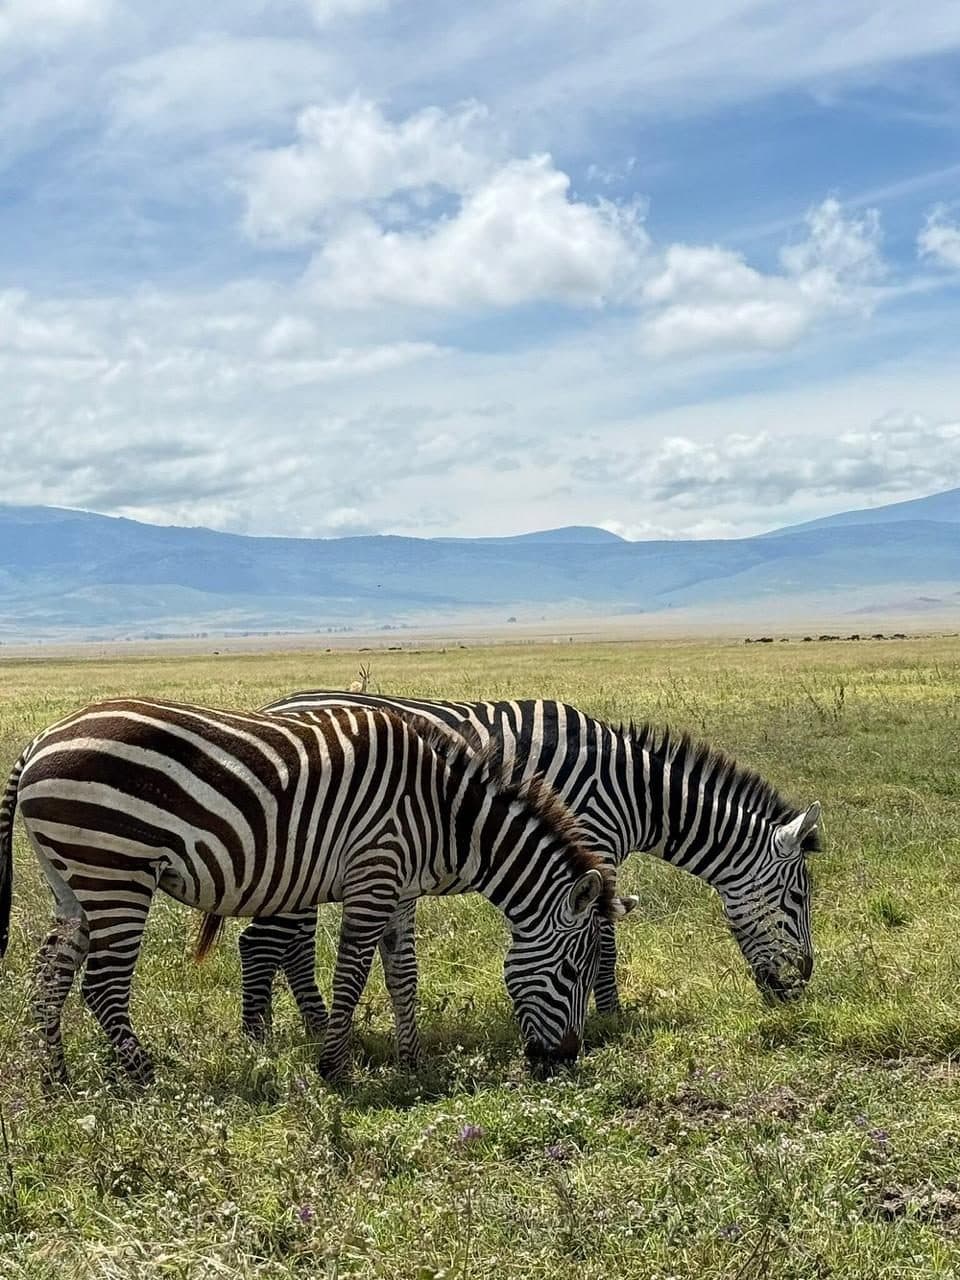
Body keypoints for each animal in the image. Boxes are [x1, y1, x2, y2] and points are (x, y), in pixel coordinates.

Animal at [0, 697, 629, 1086]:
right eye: (571, 972)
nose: (563, 1060)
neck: (445, 815)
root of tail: (39, 741)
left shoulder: (400, 891)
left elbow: (404, 975)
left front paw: (411, 1063)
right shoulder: (374, 874)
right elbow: (352, 973)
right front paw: (335, 1068)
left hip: (72, 880)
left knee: (50, 972)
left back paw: (57, 1079)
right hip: (116, 871)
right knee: (102, 987)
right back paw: (144, 1078)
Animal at [232, 692, 822, 1053]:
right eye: (798, 897)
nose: (801, 985)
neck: (633, 791)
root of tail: (273, 705)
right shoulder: (593, 849)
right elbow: (605, 943)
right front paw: (611, 1015)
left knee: (288, 947)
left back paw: (314, 1032)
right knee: (261, 944)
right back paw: (265, 1046)